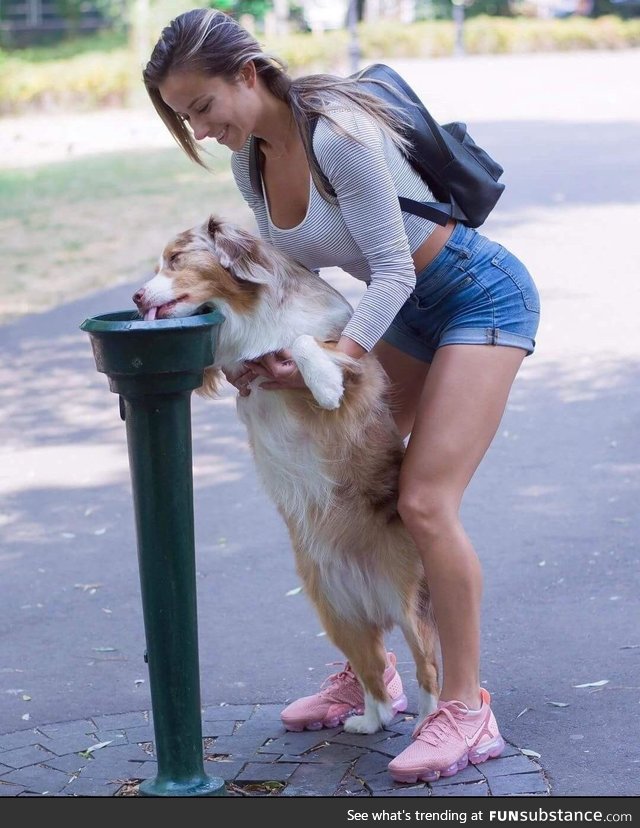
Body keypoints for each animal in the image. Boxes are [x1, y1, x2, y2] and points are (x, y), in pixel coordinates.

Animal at [131, 217, 440, 736]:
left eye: (174, 259)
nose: (135, 297)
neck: (245, 316)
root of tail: (368, 592)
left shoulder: (357, 365)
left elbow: (301, 342)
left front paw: (325, 385)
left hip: (407, 597)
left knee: (428, 666)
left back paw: (430, 723)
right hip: (333, 611)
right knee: (373, 669)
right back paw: (367, 721)